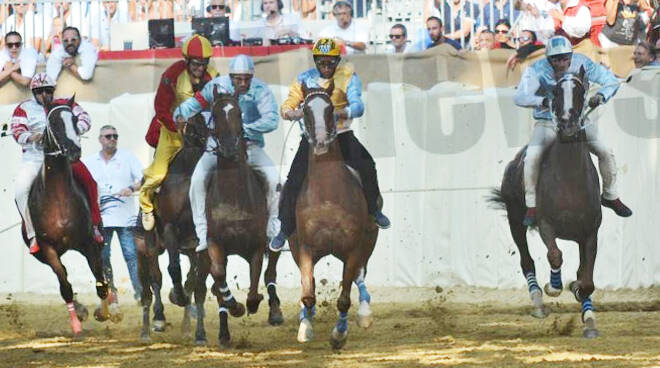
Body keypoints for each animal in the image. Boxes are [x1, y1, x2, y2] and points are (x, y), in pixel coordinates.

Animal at [24, 97, 111, 336]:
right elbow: (65, 286)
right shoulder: (48, 248)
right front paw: (77, 324)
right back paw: (79, 311)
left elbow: (100, 281)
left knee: (102, 273)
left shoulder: (88, 242)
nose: (73, 151)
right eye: (53, 122)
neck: (59, 198)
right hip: (42, 254)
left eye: (73, 119)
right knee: (63, 275)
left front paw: (104, 312)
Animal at [137, 113, 211, 342]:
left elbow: (195, 281)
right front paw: (176, 296)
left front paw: (198, 332)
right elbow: (173, 269)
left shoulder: (199, 241)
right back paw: (156, 321)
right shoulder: (170, 229)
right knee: (154, 280)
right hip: (148, 246)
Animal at [192, 89, 282, 348]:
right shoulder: (215, 244)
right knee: (209, 285)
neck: (234, 196)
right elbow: (219, 276)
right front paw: (234, 306)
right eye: (214, 113)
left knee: (270, 271)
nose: (230, 147)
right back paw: (221, 333)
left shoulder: (256, 245)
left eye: (240, 112)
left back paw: (274, 311)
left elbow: (255, 279)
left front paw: (252, 302)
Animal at [290, 82, 378, 350]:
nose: (320, 142)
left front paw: (339, 334)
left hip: (367, 242)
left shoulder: (353, 248)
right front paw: (305, 328)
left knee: (360, 277)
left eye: (330, 109)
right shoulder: (305, 248)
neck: (327, 195)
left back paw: (364, 314)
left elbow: (344, 299)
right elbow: (308, 294)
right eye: (305, 110)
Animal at [490, 67, 604, 340]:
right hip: (515, 220)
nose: (567, 125)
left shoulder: (590, 232)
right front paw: (554, 287)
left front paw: (587, 315)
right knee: (526, 260)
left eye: (581, 90)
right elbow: (555, 255)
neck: (570, 180)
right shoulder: (546, 225)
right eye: (554, 92)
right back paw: (539, 302)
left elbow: (586, 280)